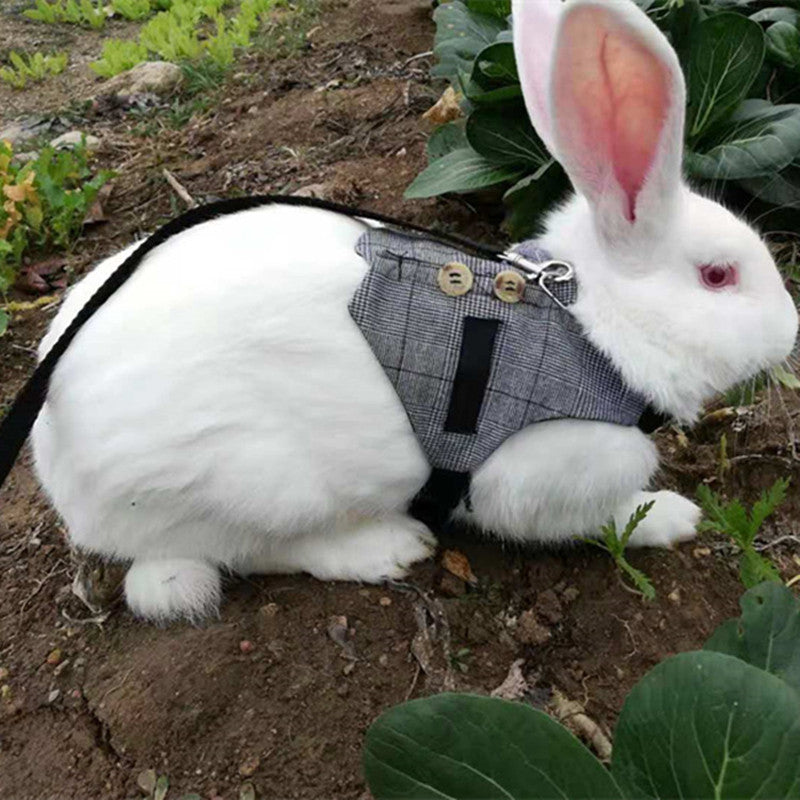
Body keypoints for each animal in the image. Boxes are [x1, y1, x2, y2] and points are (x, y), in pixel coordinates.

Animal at [29, 0, 792, 620]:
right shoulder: (537, 475)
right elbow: (600, 519)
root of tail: (57, 466)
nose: (792, 330)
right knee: (254, 552)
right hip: (253, 488)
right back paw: (388, 548)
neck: (591, 327)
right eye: (718, 276)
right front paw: (675, 516)